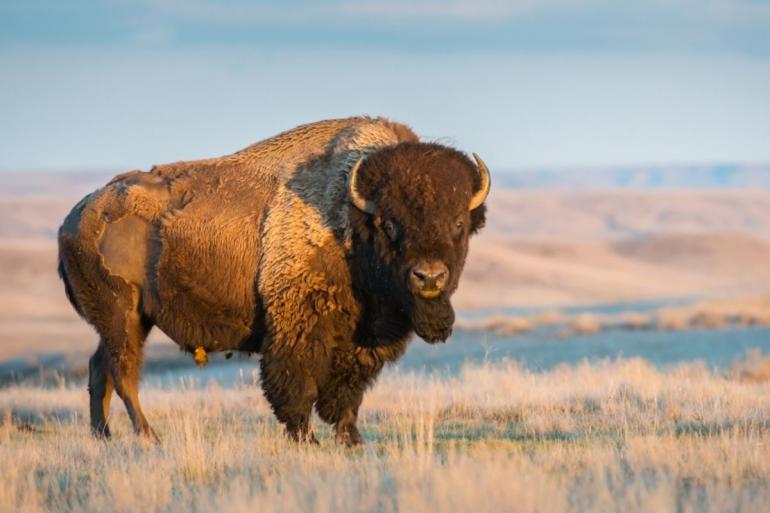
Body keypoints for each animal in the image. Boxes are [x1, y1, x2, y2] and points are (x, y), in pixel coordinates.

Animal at [61, 117, 492, 444]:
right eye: (389, 224)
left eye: (458, 224)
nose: (429, 277)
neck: (350, 219)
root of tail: (77, 216)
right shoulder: (297, 328)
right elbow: (296, 385)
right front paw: (307, 440)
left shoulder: (360, 343)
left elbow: (347, 393)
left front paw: (351, 440)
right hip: (124, 316)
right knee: (123, 373)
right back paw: (148, 436)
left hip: (127, 322)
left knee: (100, 368)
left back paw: (104, 436)